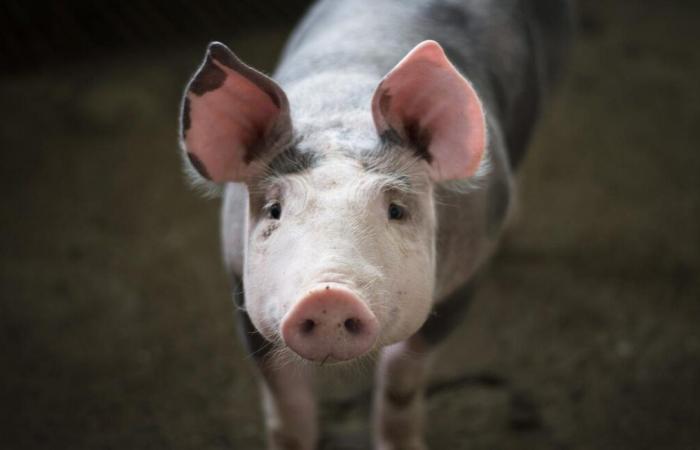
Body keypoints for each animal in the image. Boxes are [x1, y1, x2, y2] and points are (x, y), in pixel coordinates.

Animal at [178, 0, 572, 448]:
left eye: (396, 210)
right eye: (275, 209)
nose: (328, 295)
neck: (340, 114)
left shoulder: (464, 279)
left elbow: (401, 378)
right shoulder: (240, 283)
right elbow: (283, 396)